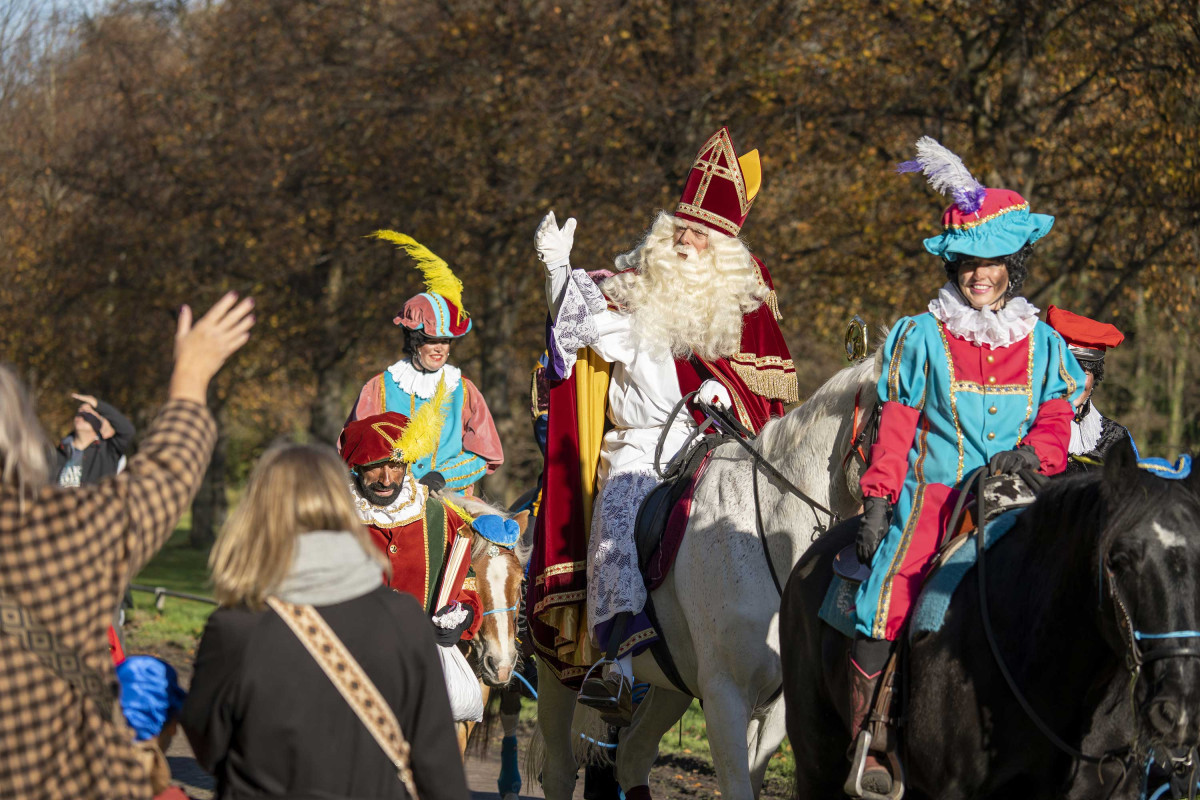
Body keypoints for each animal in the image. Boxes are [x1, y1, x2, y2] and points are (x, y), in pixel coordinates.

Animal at [535, 355, 883, 800]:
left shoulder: (774, 708)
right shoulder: (725, 695)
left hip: (671, 685)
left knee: (633, 755)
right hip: (556, 670)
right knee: (560, 770)